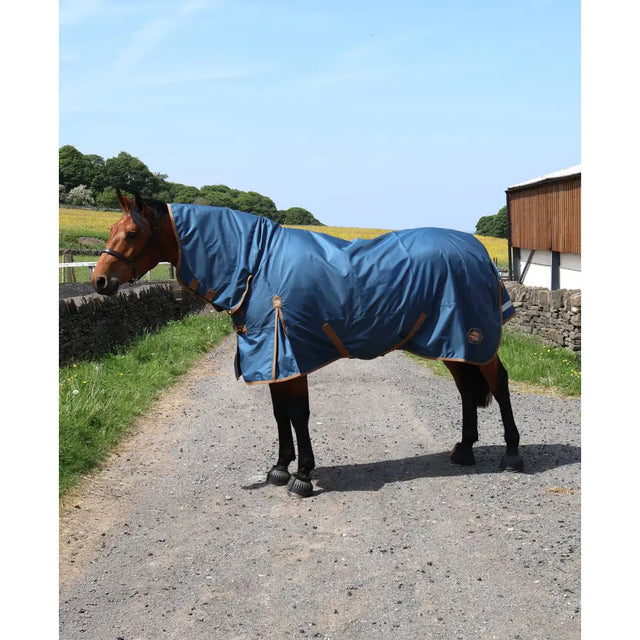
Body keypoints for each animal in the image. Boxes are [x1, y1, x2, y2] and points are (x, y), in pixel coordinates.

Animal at [91, 190, 523, 498]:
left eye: (131, 233)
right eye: (111, 230)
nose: (99, 280)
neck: (257, 264)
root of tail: (479, 253)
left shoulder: (289, 354)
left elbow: (298, 415)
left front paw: (301, 475)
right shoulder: (271, 359)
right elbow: (280, 414)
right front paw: (280, 468)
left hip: (475, 337)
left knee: (498, 384)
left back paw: (512, 454)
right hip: (452, 342)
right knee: (466, 389)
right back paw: (463, 451)